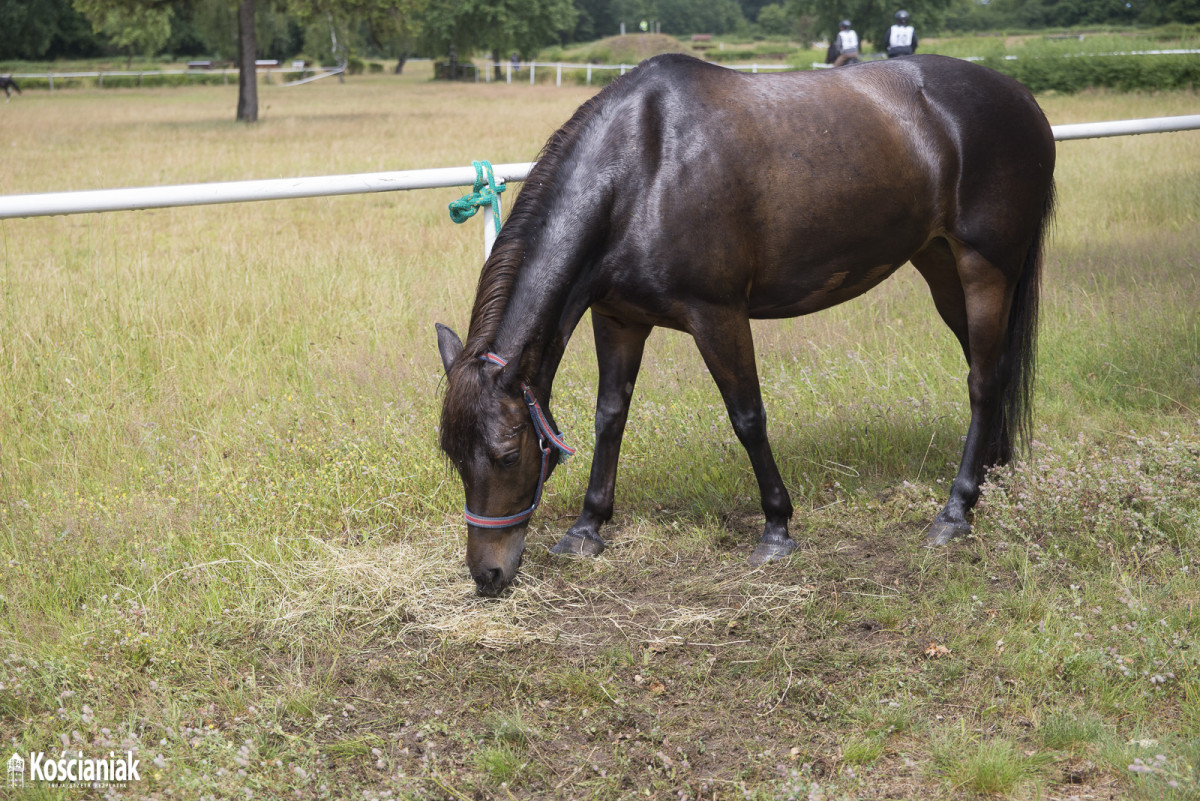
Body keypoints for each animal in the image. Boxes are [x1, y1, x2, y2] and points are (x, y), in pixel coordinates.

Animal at [436, 53, 1056, 597]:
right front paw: (588, 527)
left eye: (507, 455)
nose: (487, 575)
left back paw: (955, 511)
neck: (642, 170)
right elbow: (609, 416)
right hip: (941, 264)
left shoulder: (718, 314)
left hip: (985, 268)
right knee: (992, 368)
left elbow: (747, 417)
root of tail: (1023, 97)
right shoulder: (618, 319)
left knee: (982, 382)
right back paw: (992, 473)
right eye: (453, 456)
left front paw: (777, 529)